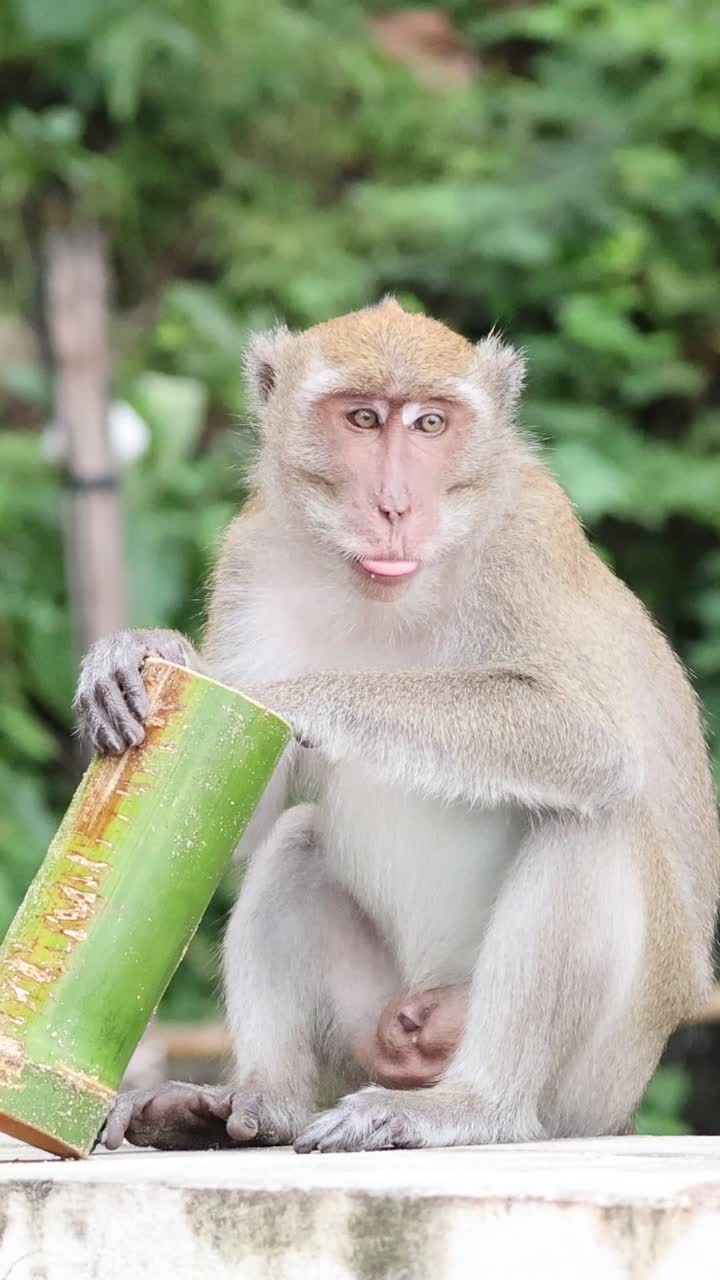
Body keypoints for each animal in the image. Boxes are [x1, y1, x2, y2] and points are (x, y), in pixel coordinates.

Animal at [76, 298, 720, 1154]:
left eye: (429, 423)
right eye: (361, 418)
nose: (394, 508)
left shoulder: (530, 538)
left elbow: (590, 737)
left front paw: (301, 697)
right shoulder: (251, 552)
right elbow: (237, 821)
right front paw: (143, 653)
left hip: (595, 1078)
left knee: (596, 819)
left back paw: (472, 1107)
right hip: (368, 1024)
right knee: (297, 845)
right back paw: (254, 1104)